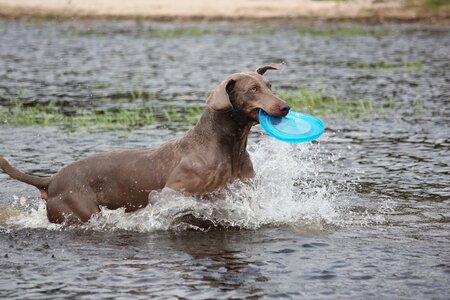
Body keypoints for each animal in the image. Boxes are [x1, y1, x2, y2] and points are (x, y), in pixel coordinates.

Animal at [0, 64, 290, 224]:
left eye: (269, 85)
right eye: (253, 89)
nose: (285, 107)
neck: (229, 146)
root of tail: (50, 180)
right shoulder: (174, 192)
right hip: (78, 211)